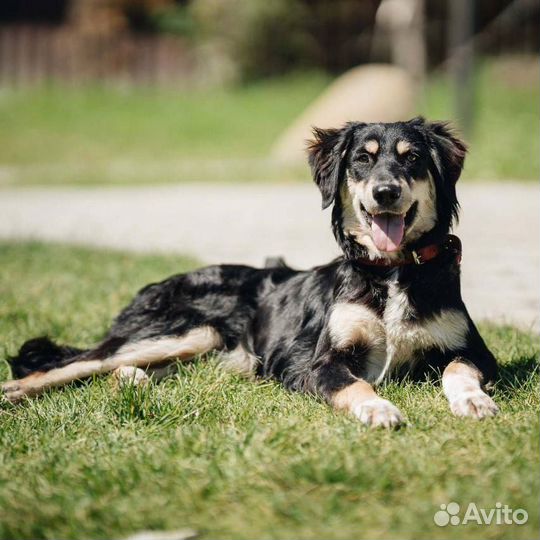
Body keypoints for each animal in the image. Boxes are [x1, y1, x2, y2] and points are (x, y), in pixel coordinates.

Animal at [1, 117, 498, 426]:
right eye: (363, 158)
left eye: (412, 158)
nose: (386, 192)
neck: (392, 272)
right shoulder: (320, 363)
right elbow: (356, 386)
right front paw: (377, 410)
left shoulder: (475, 352)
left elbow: (458, 369)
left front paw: (474, 400)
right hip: (182, 331)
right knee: (69, 367)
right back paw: (13, 393)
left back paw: (134, 382)